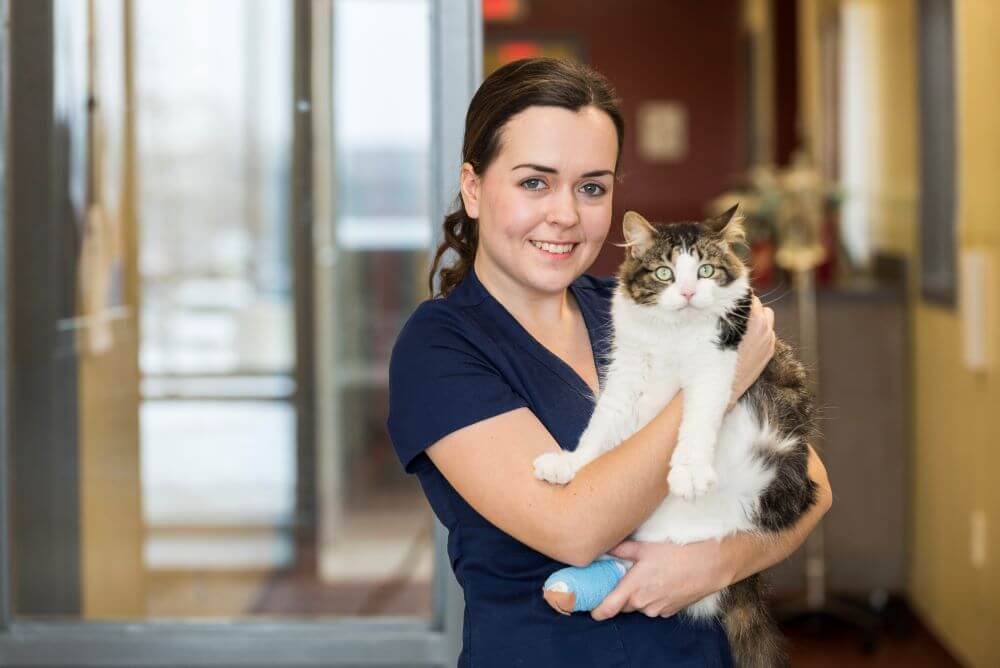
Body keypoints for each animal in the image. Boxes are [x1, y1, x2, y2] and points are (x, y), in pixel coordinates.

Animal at [536, 206, 816, 664]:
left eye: (705, 270)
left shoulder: (716, 362)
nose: (686, 293)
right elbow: (600, 426)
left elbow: (696, 421)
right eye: (665, 273)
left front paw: (689, 471)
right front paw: (568, 463)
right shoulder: (627, 371)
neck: (672, 334)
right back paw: (572, 588)